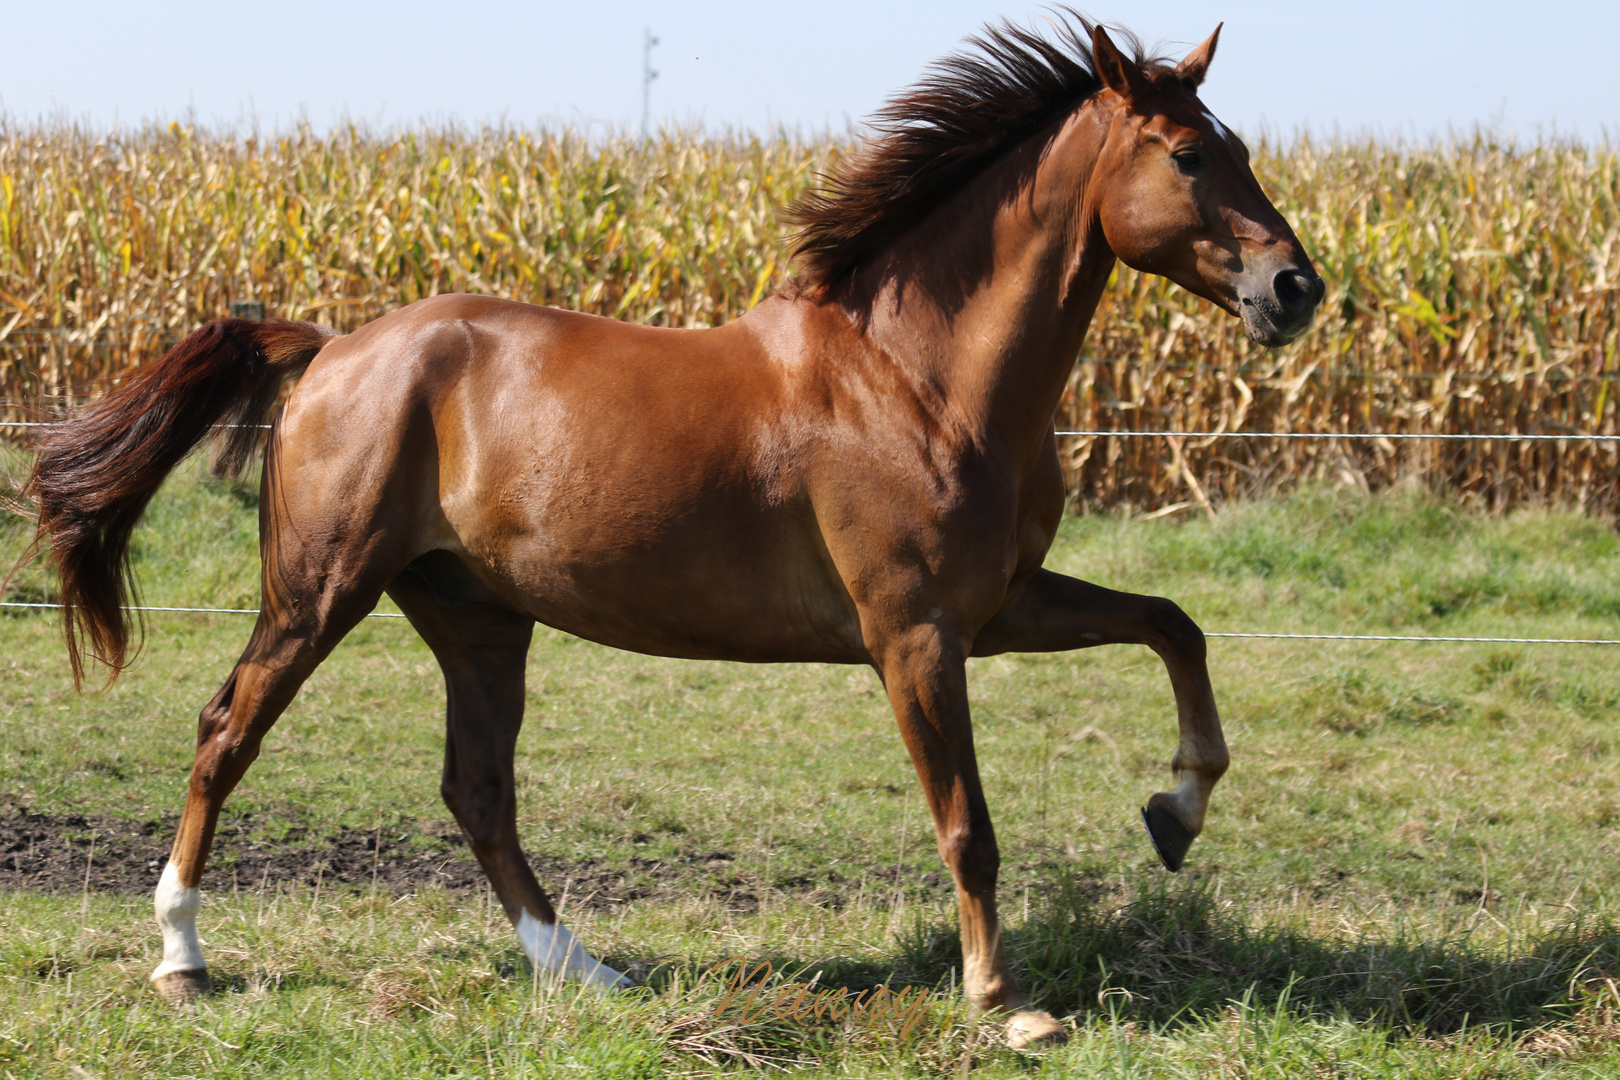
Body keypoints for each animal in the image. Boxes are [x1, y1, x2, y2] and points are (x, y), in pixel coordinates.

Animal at [22, 14, 1315, 1049]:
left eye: (1244, 146)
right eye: (1189, 155)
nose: (1296, 290)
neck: (915, 377)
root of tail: (331, 347)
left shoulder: (1000, 606)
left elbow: (1174, 625)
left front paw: (1175, 813)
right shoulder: (914, 634)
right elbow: (969, 825)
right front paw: (1006, 1006)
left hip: (475, 618)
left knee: (477, 790)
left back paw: (586, 972)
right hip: (318, 592)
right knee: (226, 732)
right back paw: (182, 959)